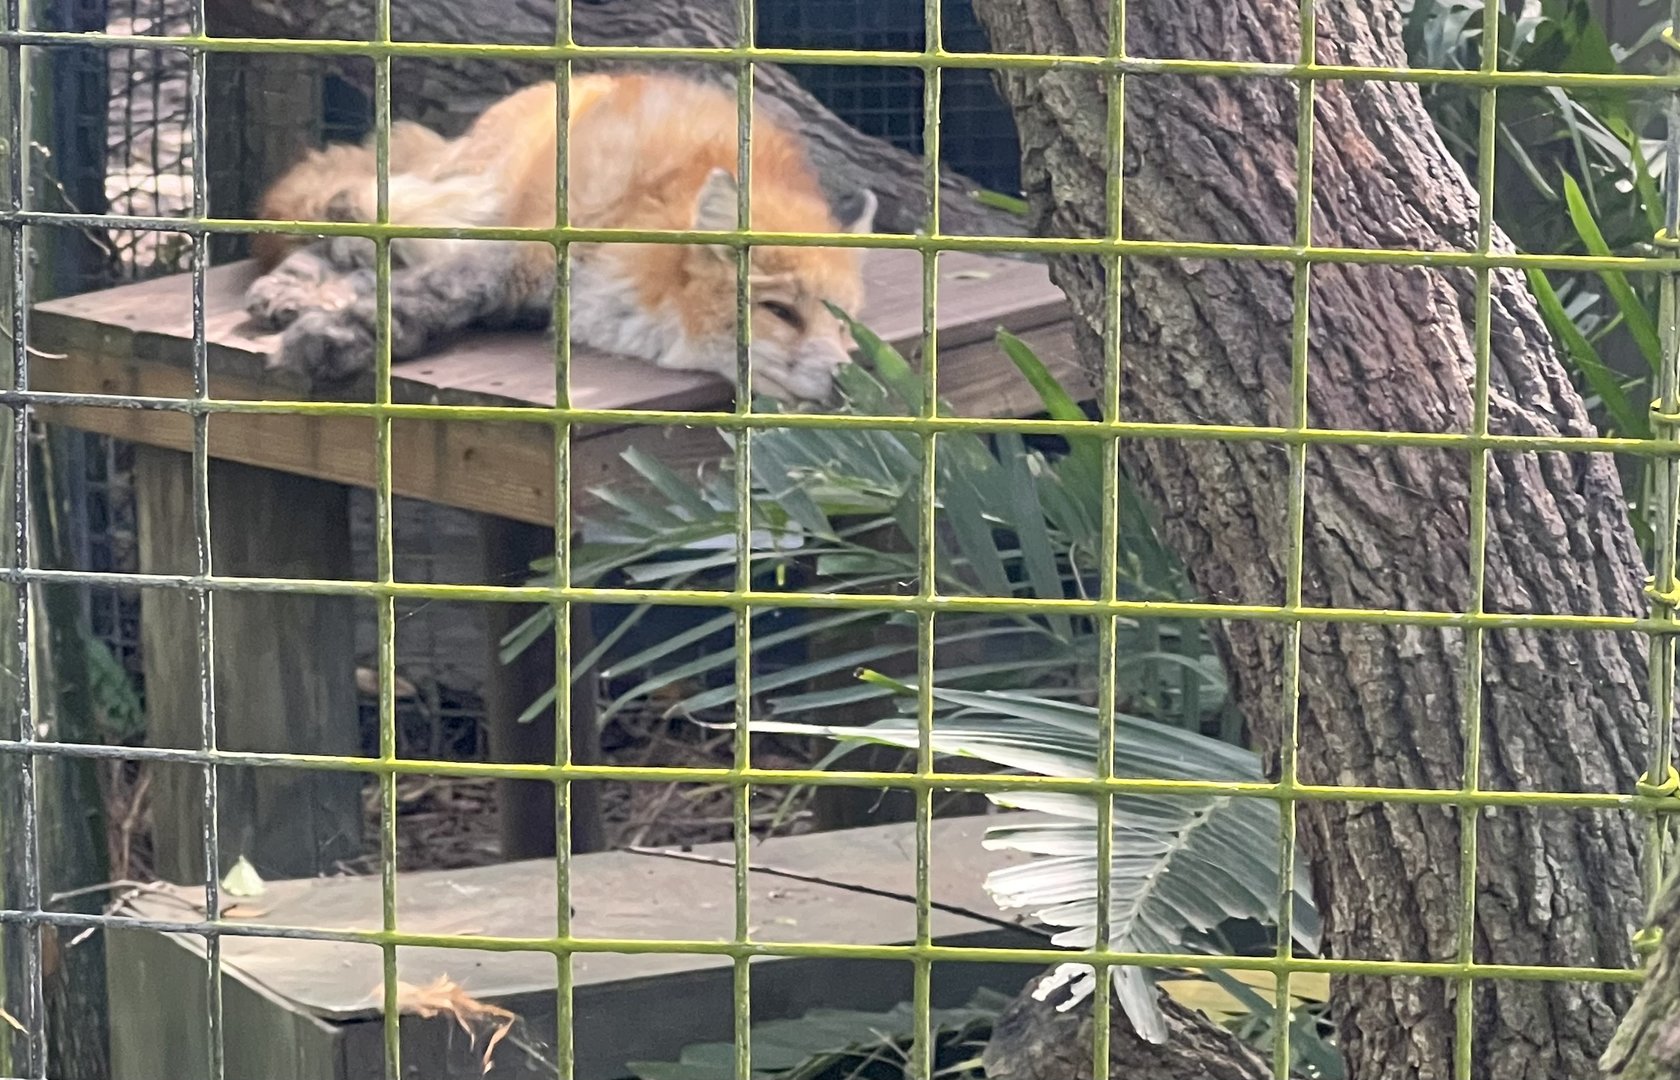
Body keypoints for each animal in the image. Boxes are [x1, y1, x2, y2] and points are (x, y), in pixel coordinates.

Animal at [244, 73, 877, 404]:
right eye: (780, 312)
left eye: (846, 326)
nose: (853, 381)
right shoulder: (519, 256)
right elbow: (433, 295)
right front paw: (334, 335)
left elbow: (415, 296)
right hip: (470, 200)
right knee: (350, 211)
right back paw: (292, 284)